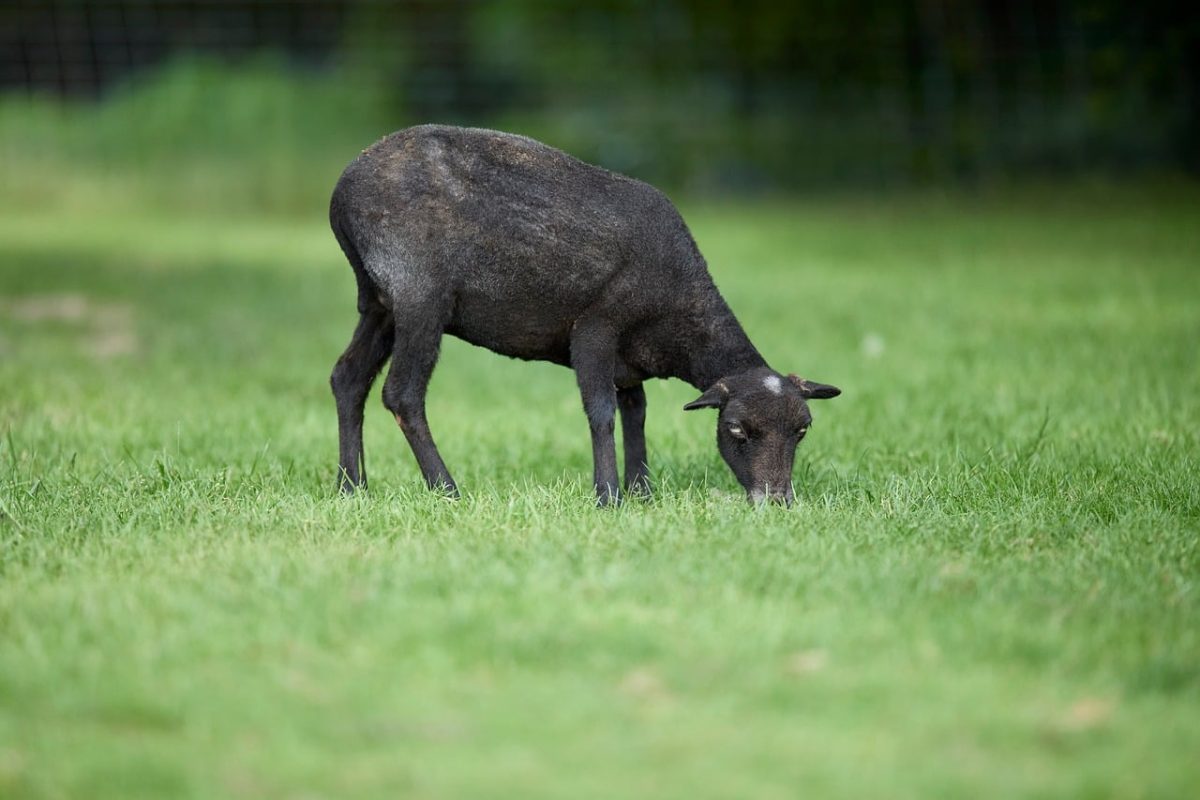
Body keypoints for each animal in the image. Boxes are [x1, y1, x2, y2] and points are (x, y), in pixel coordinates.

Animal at [329, 125, 840, 506]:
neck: (679, 317)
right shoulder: (596, 327)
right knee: (402, 394)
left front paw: (641, 492)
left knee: (348, 378)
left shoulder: (628, 360)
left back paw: (352, 489)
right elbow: (602, 412)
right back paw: (446, 490)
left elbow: (636, 413)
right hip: (420, 295)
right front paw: (609, 496)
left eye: (801, 431)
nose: (776, 501)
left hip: (379, 303)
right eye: (737, 430)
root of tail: (341, 193)